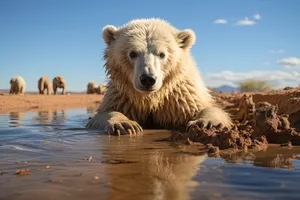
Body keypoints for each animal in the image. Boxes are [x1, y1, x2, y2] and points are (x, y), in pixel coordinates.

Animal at [86, 18, 232, 134]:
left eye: (162, 54)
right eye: (132, 53)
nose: (148, 79)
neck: (152, 98)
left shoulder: (180, 96)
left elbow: (205, 107)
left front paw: (205, 122)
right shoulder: (123, 96)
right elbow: (103, 114)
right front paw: (124, 124)